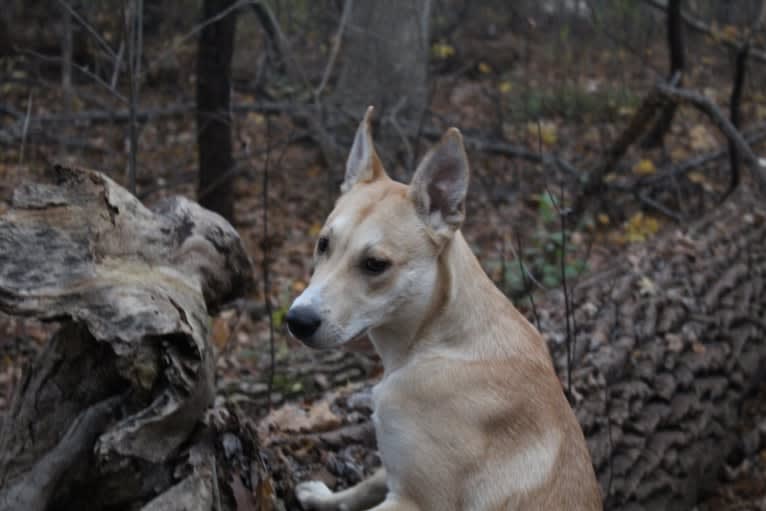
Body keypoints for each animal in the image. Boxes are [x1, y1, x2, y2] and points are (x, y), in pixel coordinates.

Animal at [284, 106, 604, 510]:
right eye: (323, 244)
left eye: (375, 264)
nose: (297, 320)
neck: (437, 338)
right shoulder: (397, 470)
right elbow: (367, 483)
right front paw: (325, 496)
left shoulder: (416, 500)